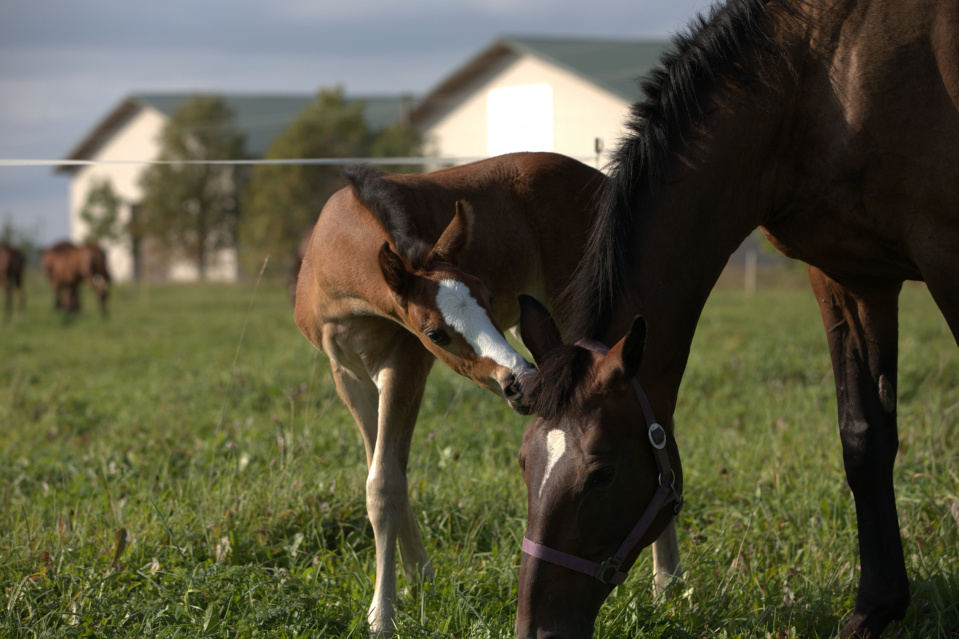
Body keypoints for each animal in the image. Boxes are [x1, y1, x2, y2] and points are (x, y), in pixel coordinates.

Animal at [294, 151, 608, 636]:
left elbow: (384, 483)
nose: (525, 383)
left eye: (489, 296)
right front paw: (417, 581)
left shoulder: (404, 366)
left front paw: (382, 615)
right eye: (435, 333)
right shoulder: (349, 376)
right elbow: (386, 473)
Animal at [512, 1, 959, 639]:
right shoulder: (849, 277)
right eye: (525, 463)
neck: (822, 80)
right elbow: (864, 438)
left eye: (602, 474)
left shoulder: (947, 256)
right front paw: (876, 606)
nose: (536, 628)